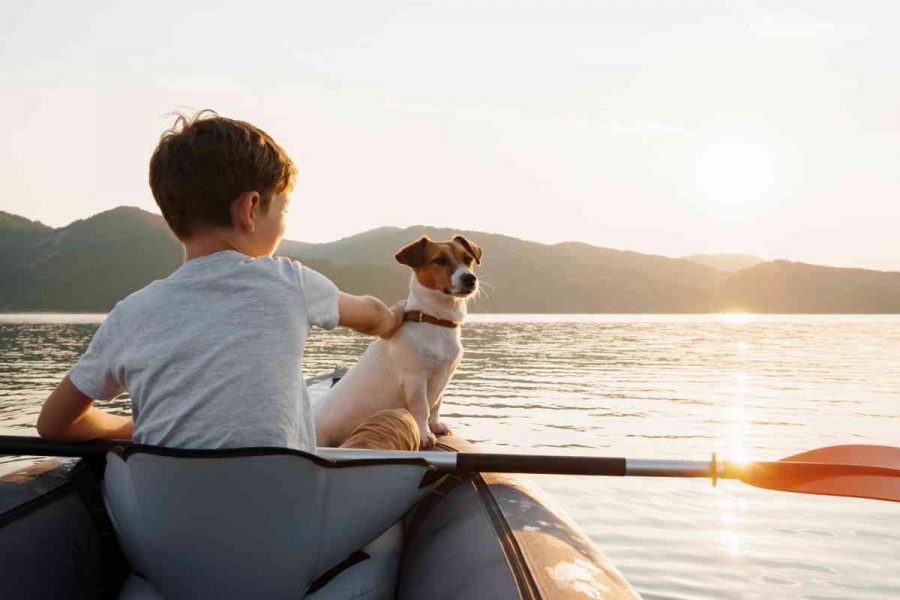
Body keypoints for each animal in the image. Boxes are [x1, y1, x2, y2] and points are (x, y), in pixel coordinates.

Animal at [316, 237, 486, 448]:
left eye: (468, 259)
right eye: (440, 260)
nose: (470, 279)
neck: (435, 320)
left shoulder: (444, 376)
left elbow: (436, 406)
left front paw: (435, 425)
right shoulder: (415, 379)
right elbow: (422, 408)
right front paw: (425, 433)